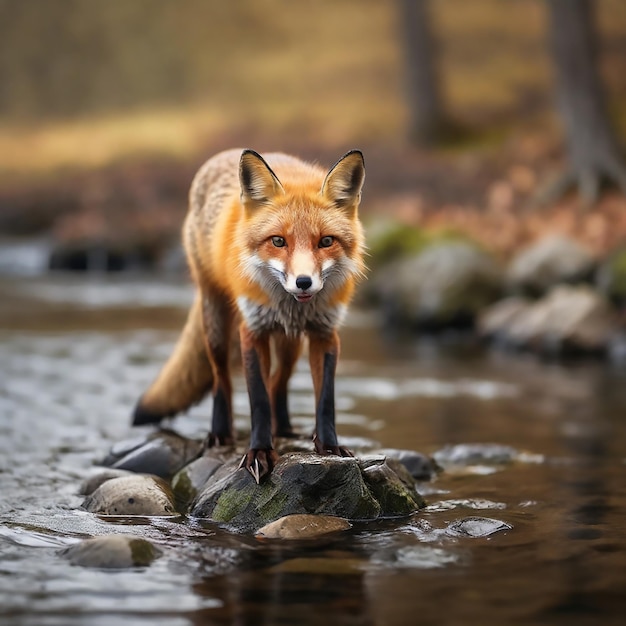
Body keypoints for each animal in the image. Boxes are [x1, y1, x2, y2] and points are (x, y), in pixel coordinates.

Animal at [133, 149, 364, 480]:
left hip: (290, 344)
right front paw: (260, 452)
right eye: (278, 241)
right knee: (222, 380)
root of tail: (221, 155)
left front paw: (329, 447)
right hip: (217, 324)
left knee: (278, 382)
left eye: (326, 241)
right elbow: (258, 399)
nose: (303, 282)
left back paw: (285, 429)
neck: (290, 305)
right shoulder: (252, 330)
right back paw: (220, 434)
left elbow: (325, 399)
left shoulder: (325, 333)